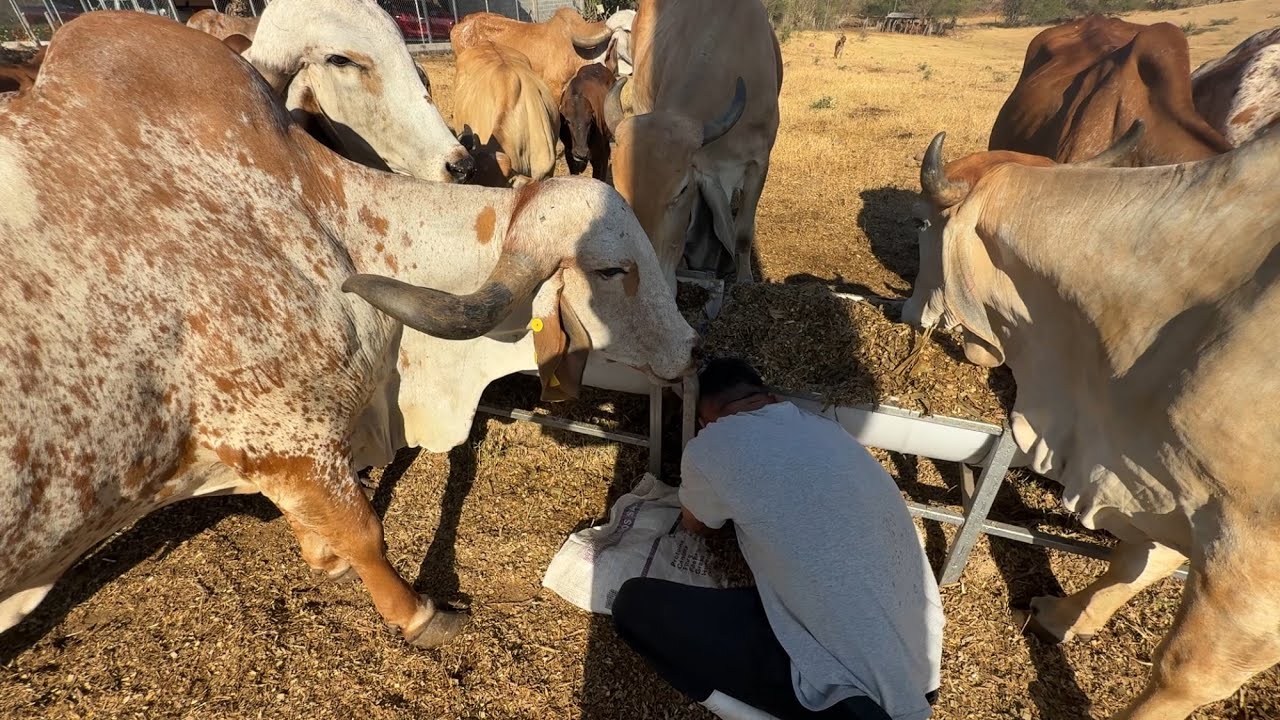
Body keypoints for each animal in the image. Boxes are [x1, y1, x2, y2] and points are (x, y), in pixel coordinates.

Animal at [902, 127, 1280, 720]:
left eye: (919, 222)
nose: (906, 312)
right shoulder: (1169, 483)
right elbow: (1133, 561)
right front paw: (1061, 616)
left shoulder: (1252, 554)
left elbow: (1187, 673)